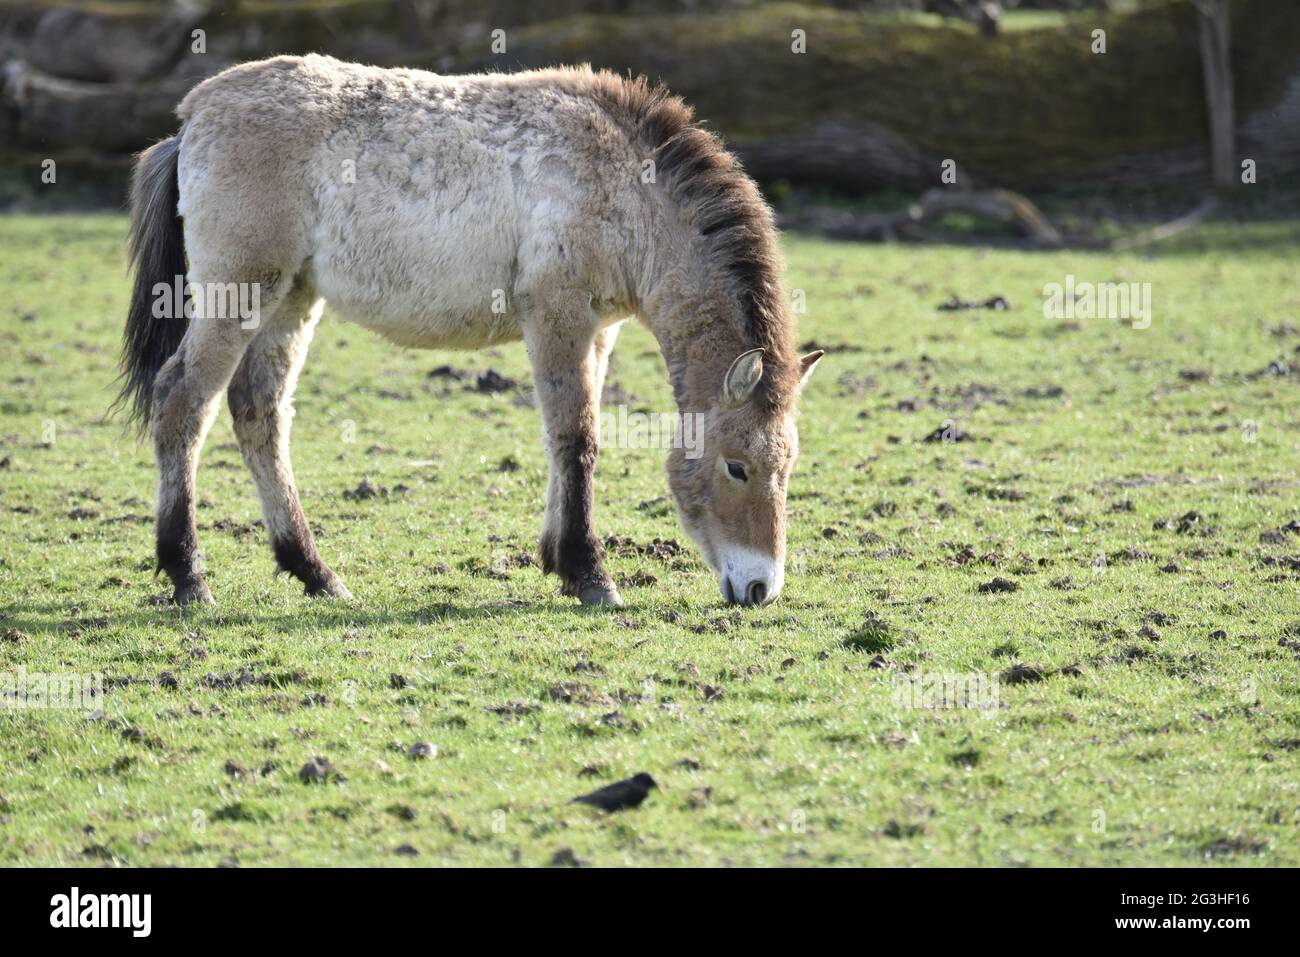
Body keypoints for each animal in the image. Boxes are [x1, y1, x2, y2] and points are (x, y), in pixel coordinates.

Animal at [116, 54, 823, 609]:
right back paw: (188, 576)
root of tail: (193, 119)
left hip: (291, 296)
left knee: (258, 411)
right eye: (737, 467)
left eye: (787, 467)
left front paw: (558, 560)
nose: (761, 588)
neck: (627, 186)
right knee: (184, 403)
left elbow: (568, 438)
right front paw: (590, 576)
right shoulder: (557, 314)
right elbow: (578, 438)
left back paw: (315, 574)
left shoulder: (598, 330)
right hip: (238, 293)